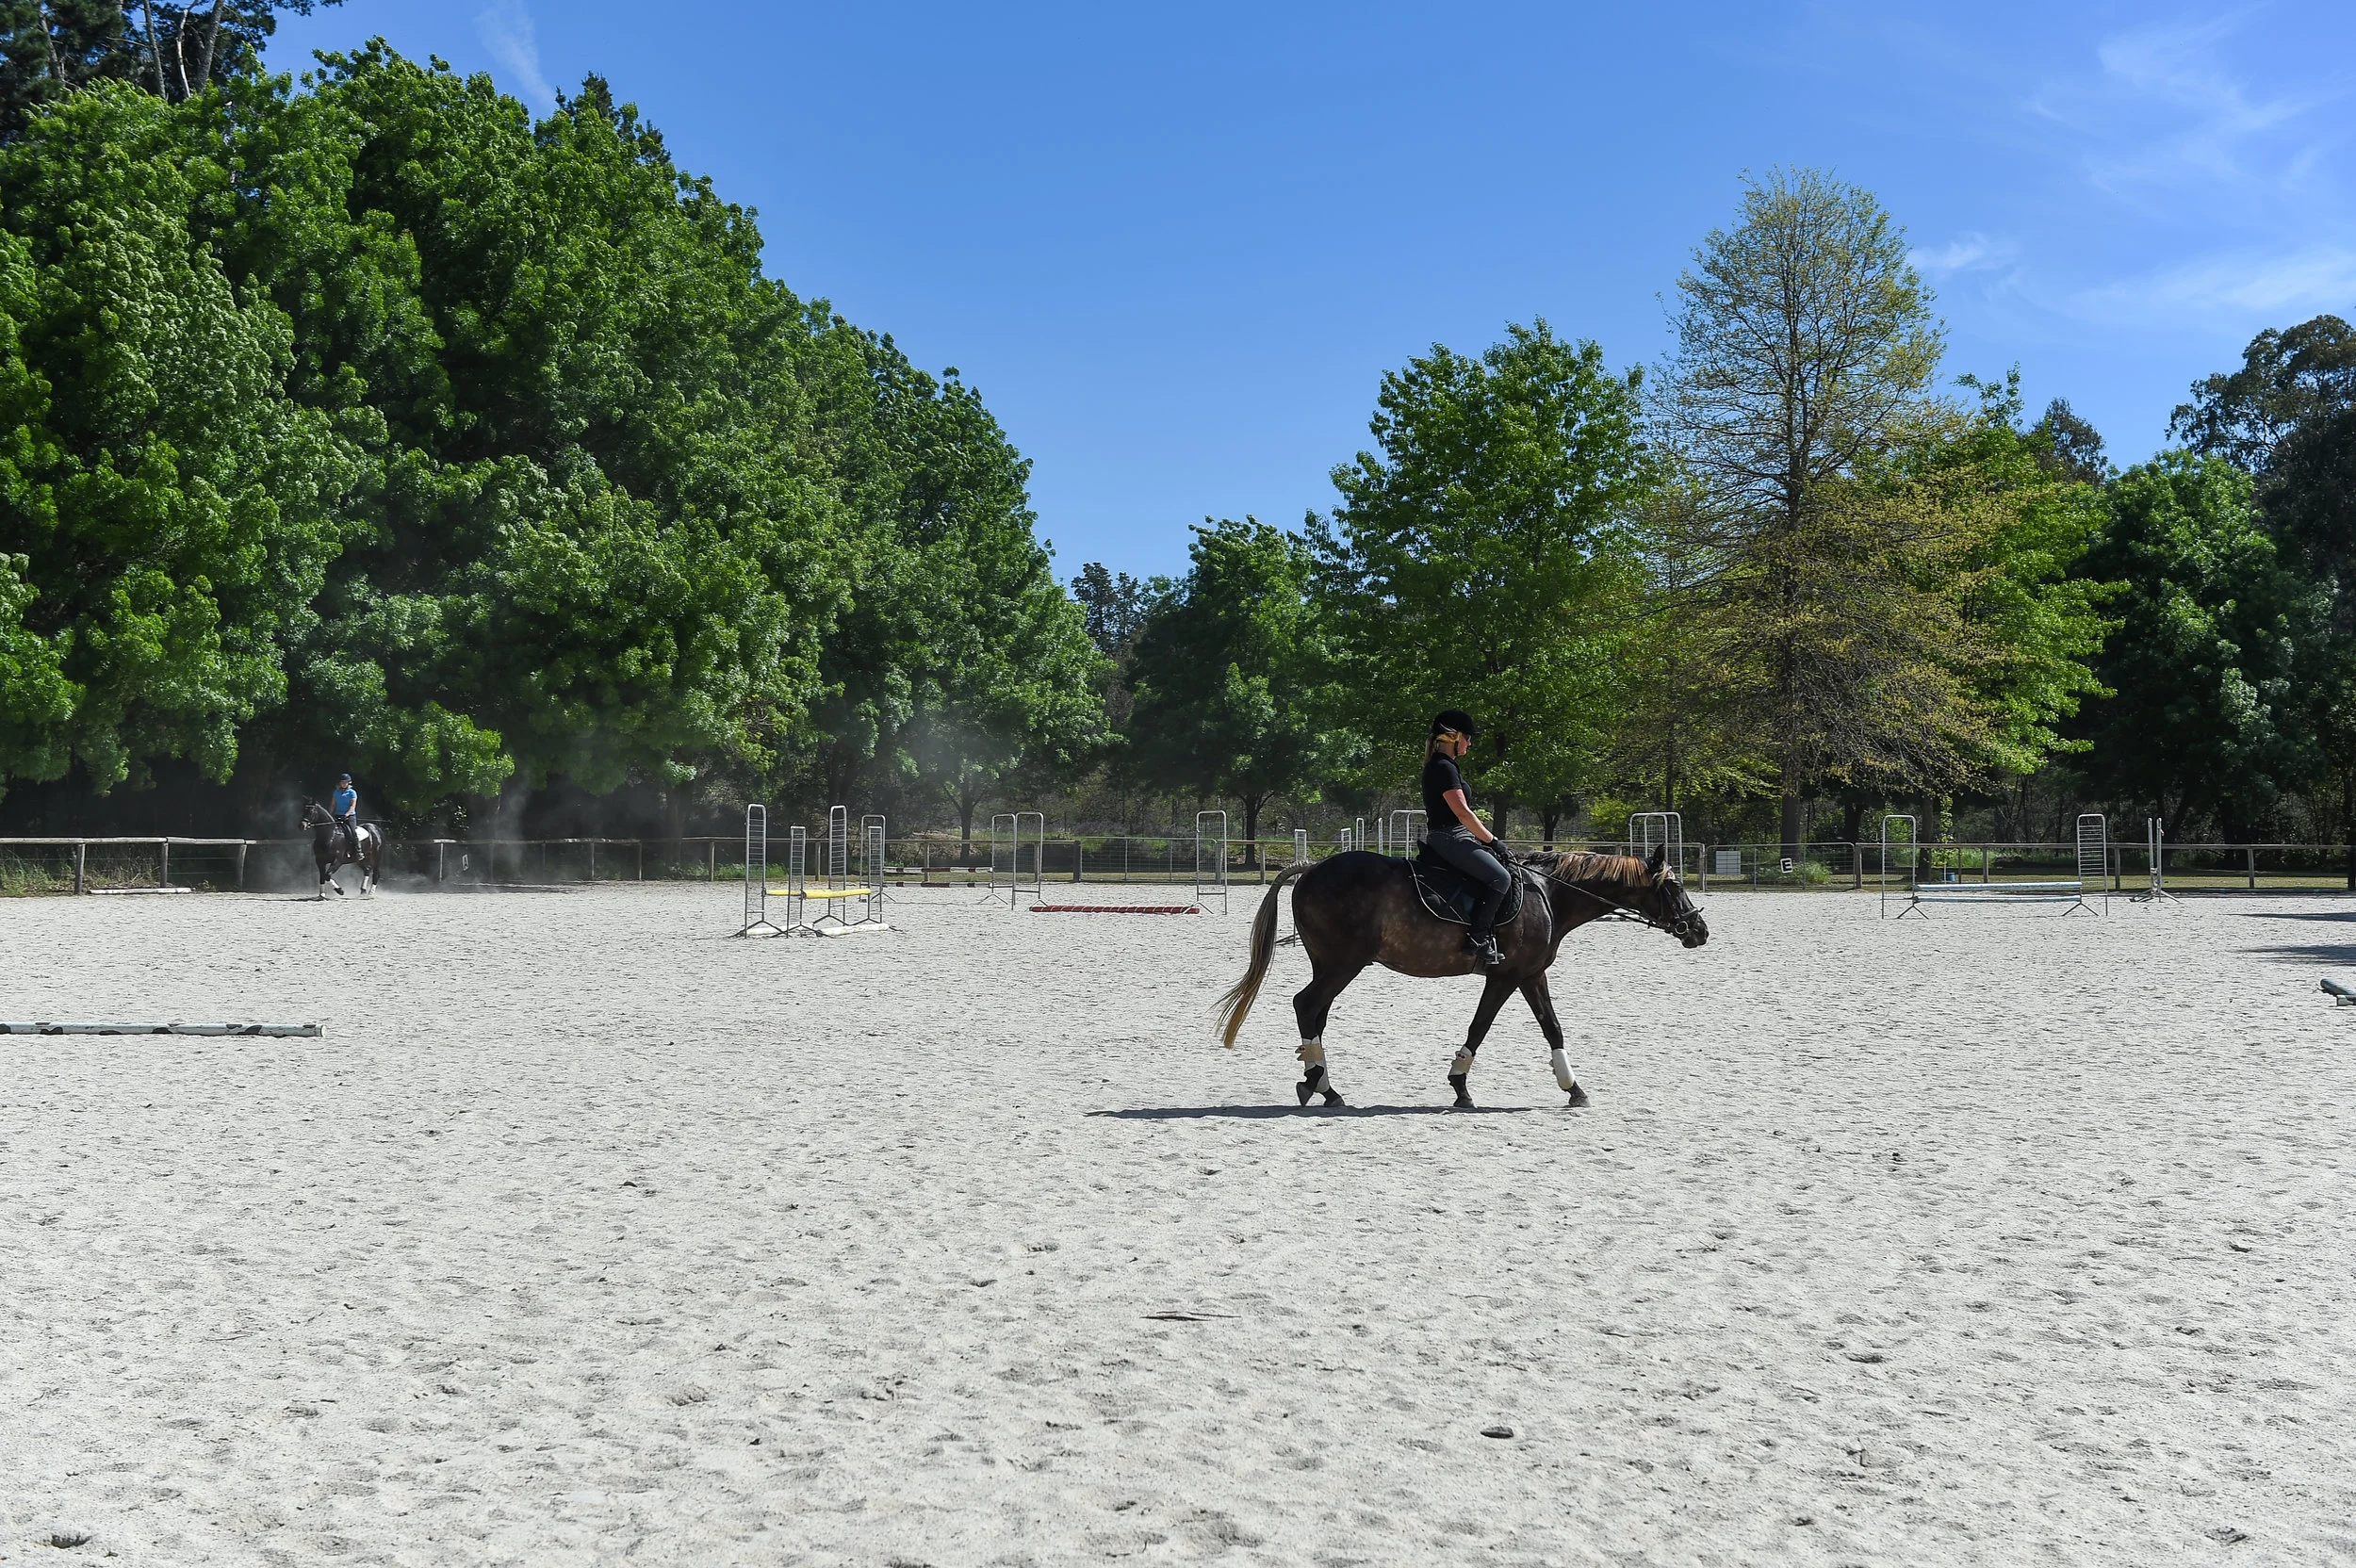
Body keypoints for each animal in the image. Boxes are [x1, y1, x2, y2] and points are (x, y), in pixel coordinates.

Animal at [1216, 844, 1708, 1109]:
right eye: (1674, 886)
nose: (1699, 930)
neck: (1549, 893)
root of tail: (1312, 869)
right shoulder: (1508, 975)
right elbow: (1482, 1025)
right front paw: (1461, 1085)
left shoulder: (1531, 975)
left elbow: (1551, 1027)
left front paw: (1572, 1088)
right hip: (1342, 963)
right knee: (1308, 1005)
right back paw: (1324, 1087)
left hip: (1333, 964)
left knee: (1314, 1012)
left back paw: (1318, 1083)